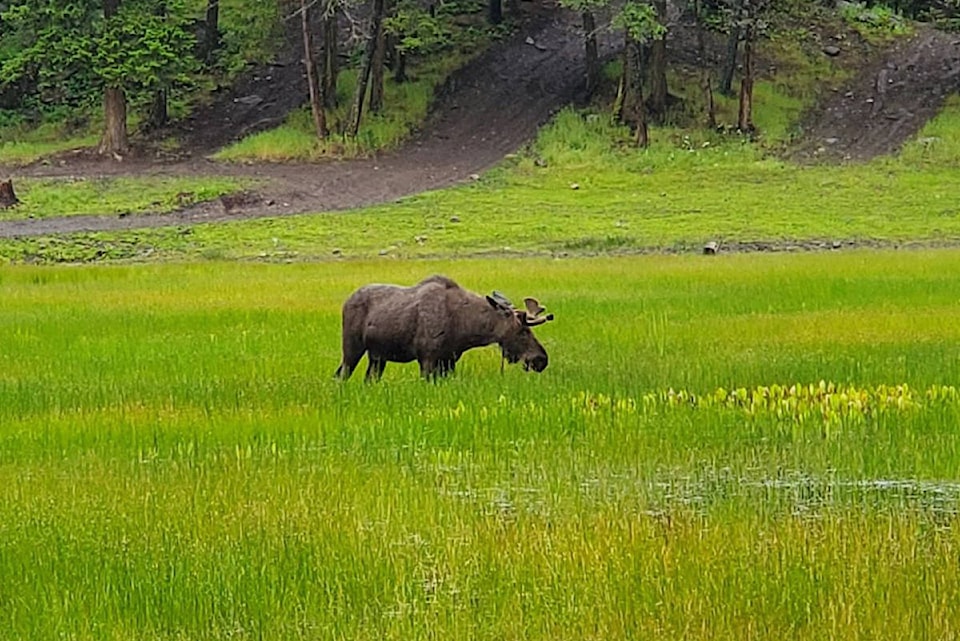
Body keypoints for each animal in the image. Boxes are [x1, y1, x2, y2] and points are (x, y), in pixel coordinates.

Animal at [336, 276, 556, 380]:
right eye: (523, 331)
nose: (541, 360)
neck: (465, 328)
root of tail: (345, 302)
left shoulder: (448, 361)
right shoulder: (427, 359)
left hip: (377, 357)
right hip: (352, 349)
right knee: (341, 375)